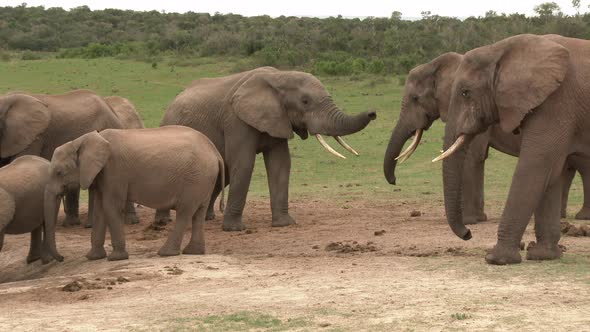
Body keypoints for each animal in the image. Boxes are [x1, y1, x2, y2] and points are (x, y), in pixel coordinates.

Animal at [45, 126, 227, 260]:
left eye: (59, 172)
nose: (61, 258)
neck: (82, 141)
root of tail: (215, 151)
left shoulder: (114, 171)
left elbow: (110, 207)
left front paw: (116, 258)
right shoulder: (103, 176)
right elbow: (100, 209)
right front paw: (93, 257)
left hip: (195, 179)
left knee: (185, 212)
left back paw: (166, 253)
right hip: (203, 179)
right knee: (198, 213)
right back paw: (193, 252)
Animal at [160, 65, 376, 231]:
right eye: (305, 102)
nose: (373, 113)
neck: (279, 76)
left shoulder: (279, 119)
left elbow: (280, 165)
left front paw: (284, 224)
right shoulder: (236, 120)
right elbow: (244, 164)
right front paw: (235, 229)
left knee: (222, 174)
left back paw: (206, 218)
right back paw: (164, 222)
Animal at [432, 34, 590, 264]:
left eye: (465, 93)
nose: (468, 234)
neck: (501, 49)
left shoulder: (557, 104)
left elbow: (535, 167)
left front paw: (496, 259)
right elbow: (551, 174)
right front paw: (543, 255)